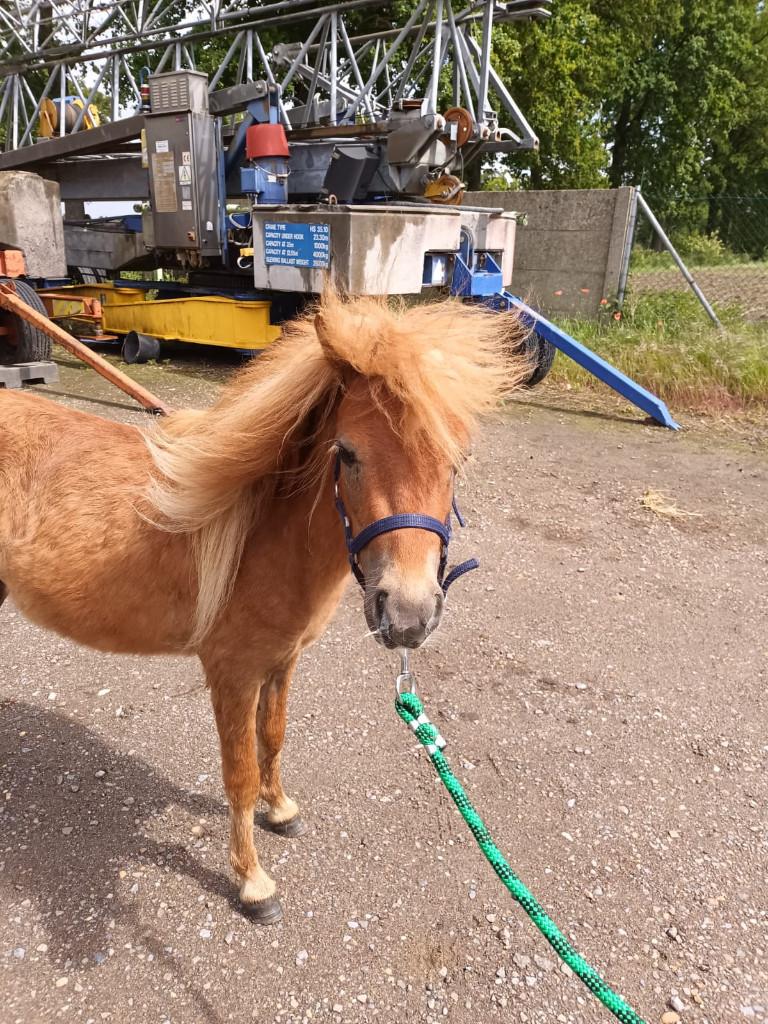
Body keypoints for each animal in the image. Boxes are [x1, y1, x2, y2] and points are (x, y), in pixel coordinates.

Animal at [0, 289, 528, 923]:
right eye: (346, 452)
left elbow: (272, 739)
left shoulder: (280, 662)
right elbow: (240, 774)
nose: (407, 616)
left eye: (457, 459)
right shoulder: (231, 674)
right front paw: (253, 883)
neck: (260, 536)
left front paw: (280, 811)